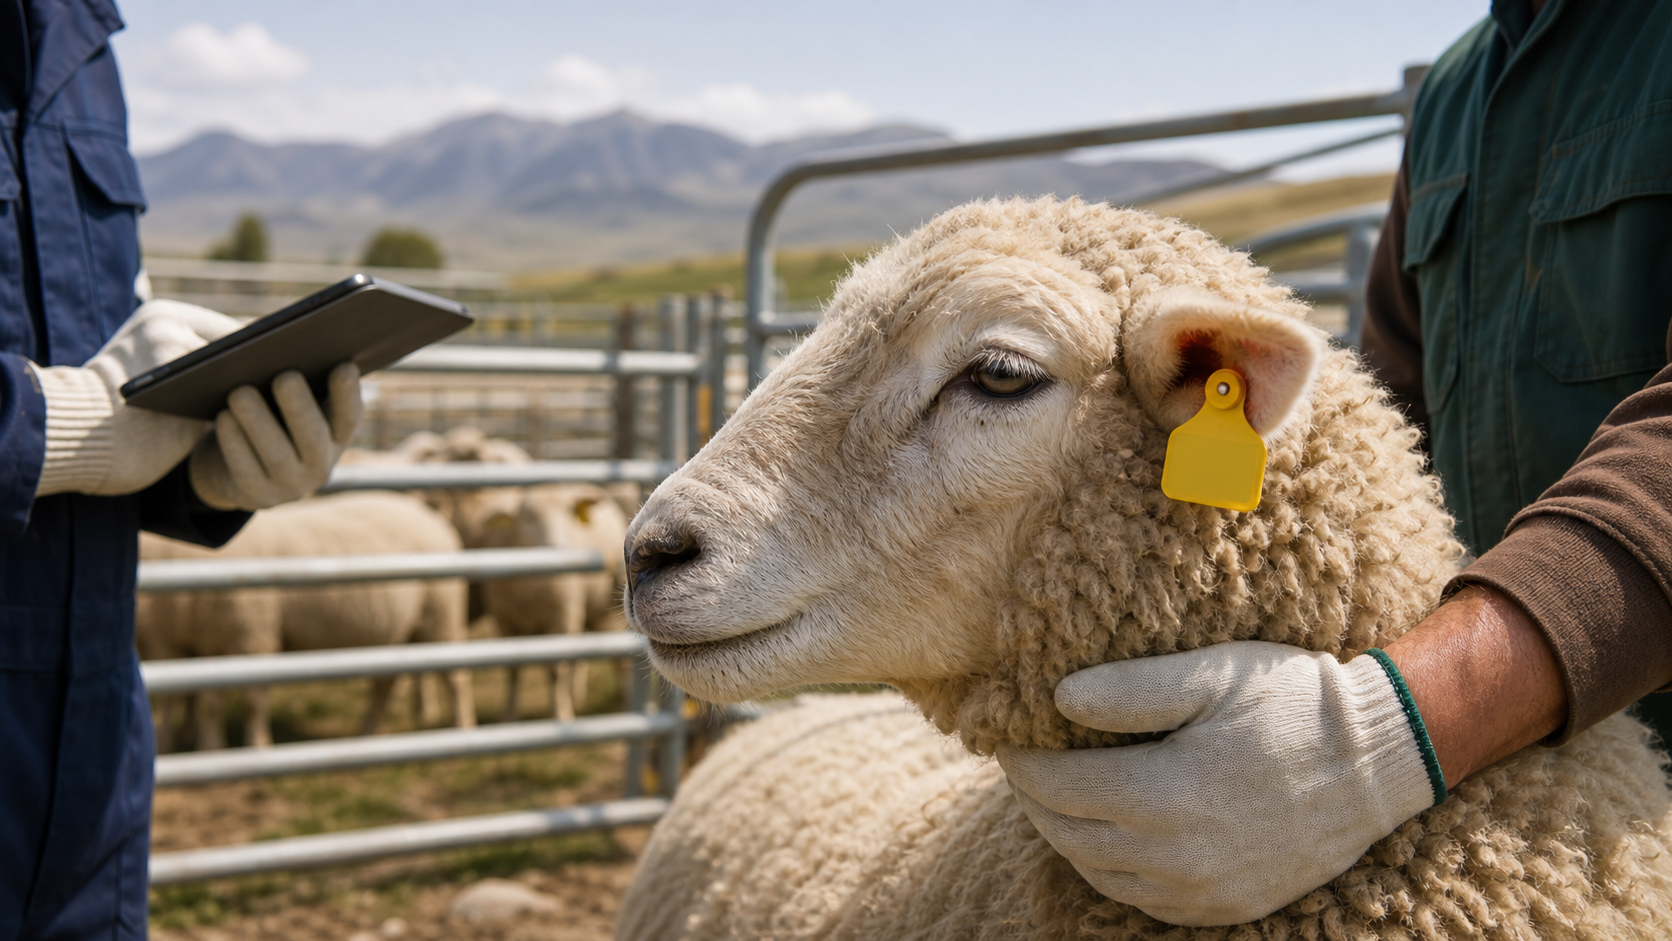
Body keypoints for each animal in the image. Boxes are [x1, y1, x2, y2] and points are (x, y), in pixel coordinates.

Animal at [137, 491, 476, 750]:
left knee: (456, 678)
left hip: (439, 616)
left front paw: (256, 747)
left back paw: (462, 729)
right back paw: (365, 735)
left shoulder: (253, 635)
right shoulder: (186, 642)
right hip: (394, 632)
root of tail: (432, 518)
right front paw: (203, 748)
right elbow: (194, 701)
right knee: (385, 684)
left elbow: (250, 701)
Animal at [477, 483, 631, 721]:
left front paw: (561, 715)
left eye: (568, 514)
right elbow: (513, 670)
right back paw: (576, 696)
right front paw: (508, 717)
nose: (559, 547)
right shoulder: (505, 621)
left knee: (616, 656)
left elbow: (556, 670)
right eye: (529, 518)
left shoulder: (562, 618)